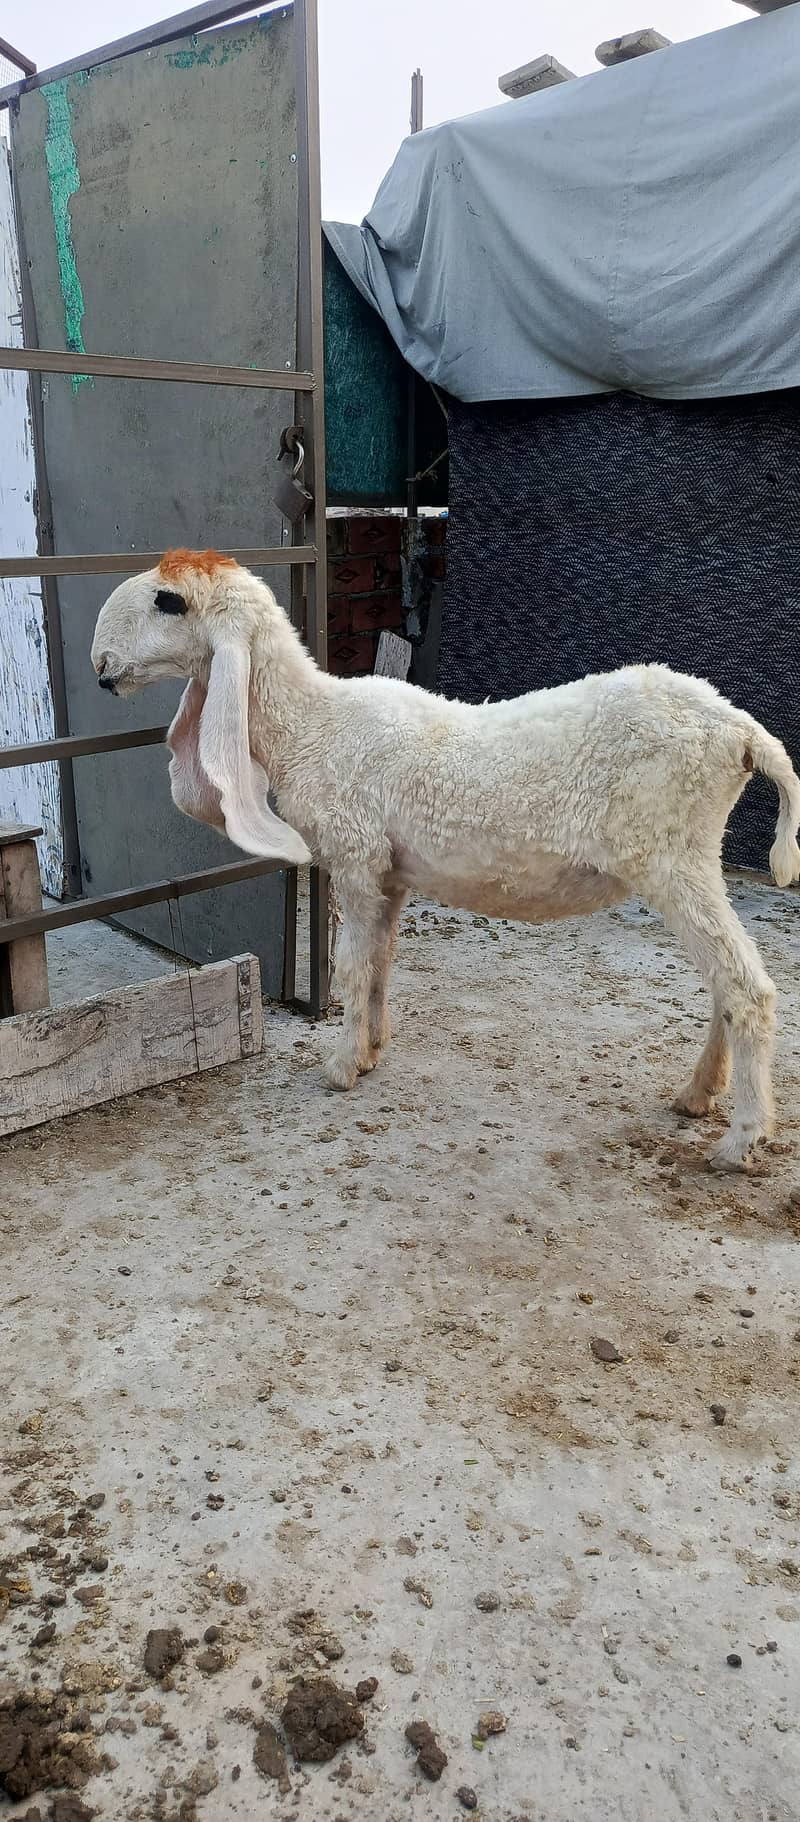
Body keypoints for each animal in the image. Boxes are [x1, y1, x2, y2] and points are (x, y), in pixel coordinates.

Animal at [90, 548, 800, 1171]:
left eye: (168, 601)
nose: (102, 667)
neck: (313, 725)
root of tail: (740, 732)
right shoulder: (389, 873)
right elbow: (379, 962)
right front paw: (372, 1050)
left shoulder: (354, 854)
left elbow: (351, 967)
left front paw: (341, 1068)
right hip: (694, 855)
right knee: (726, 982)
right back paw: (697, 1096)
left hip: (671, 853)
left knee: (747, 986)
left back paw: (740, 1140)